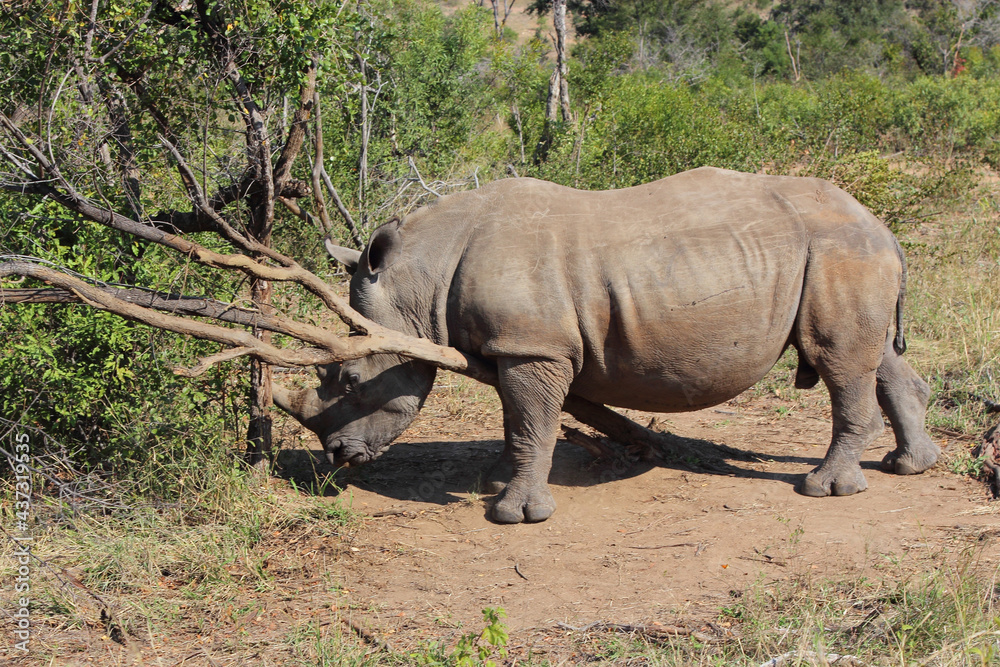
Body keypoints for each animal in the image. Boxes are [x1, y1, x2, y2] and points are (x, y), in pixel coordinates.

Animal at [274, 167, 939, 524]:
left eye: (350, 382)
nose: (336, 456)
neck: (422, 280)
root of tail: (882, 224)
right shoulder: (517, 346)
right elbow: (521, 421)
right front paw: (496, 481)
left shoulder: (534, 347)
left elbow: (530, 422)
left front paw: (513, 514)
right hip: (846, 252)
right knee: (874, 356)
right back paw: (910, 465)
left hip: (838, 251)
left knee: (839, 360)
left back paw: (824, 489)